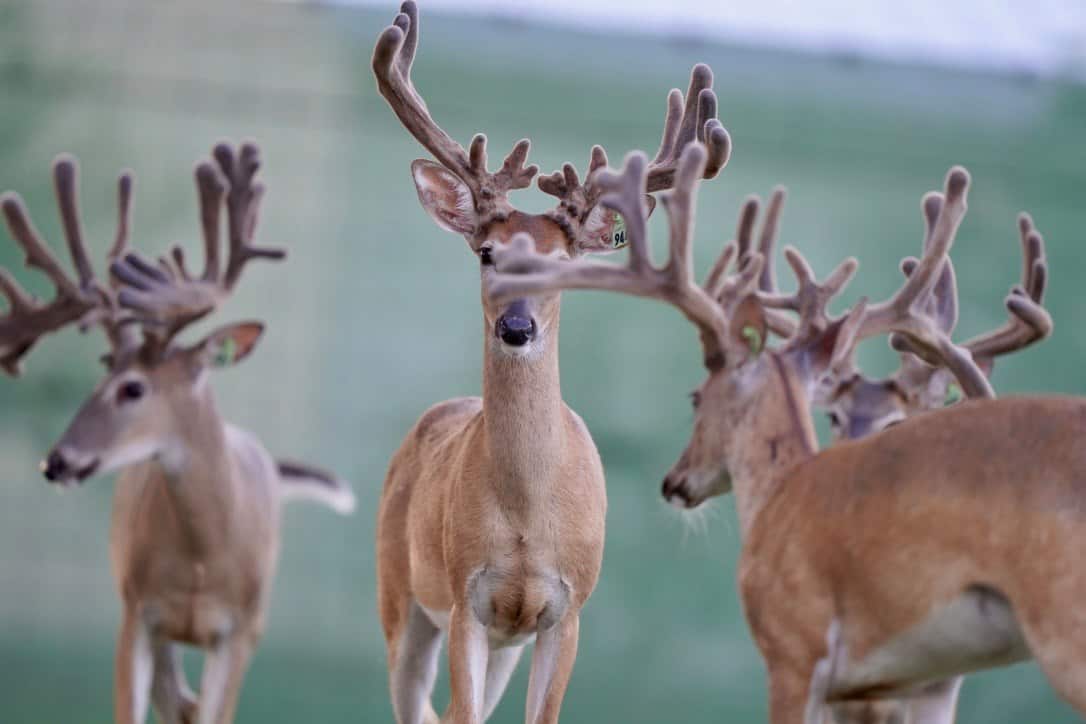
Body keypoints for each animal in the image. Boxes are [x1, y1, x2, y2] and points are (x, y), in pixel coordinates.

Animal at [0, 143, 355, 724]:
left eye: (133, 389)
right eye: (101, 376)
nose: (57, 461)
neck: (202, 561)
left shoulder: (242, 633)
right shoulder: (138, 613)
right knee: (176, 703)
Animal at [369, 3, 731, 723]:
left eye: (562, 263)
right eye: (486, 252)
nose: (517, 326)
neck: (527, 522)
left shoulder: (568, 609)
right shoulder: (467, 600)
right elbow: (459, 714)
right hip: (400, 594)